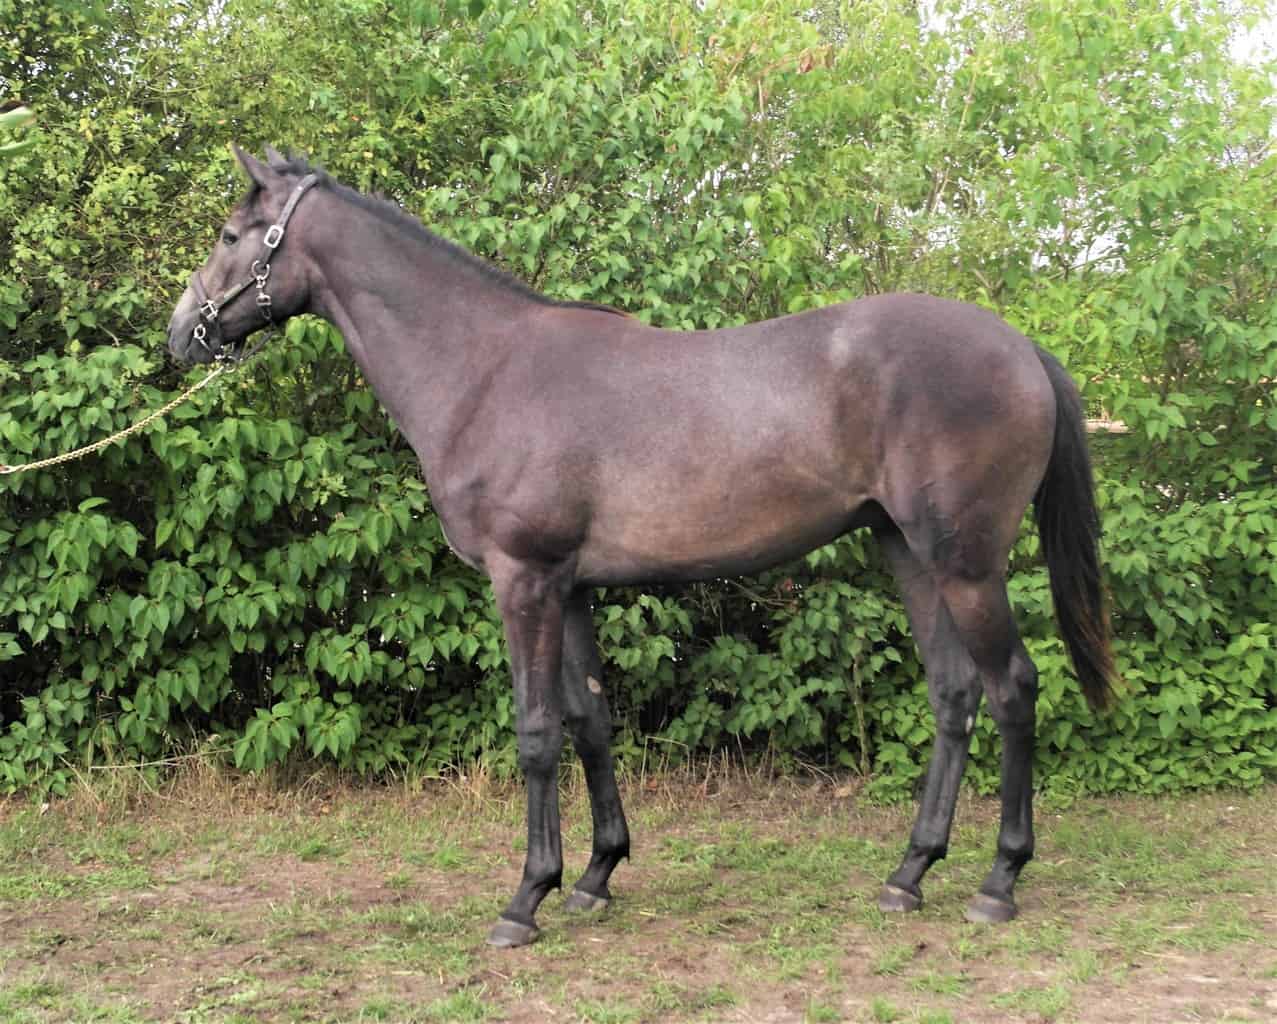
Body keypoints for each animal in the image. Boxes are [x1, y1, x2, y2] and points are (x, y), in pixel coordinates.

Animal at [164, 147, 1113, 944]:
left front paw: (525, 899)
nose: (180, 335)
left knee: (1011, 689)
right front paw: (593, 876)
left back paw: (998, 882)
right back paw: (909, 873)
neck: (483, 370)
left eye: (229, 236)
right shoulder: (572, 587)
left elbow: (536, 731)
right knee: (953, 696)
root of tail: (1019, 347)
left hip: (966, 565)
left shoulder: (524, 581)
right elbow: (590, 719)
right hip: (909, 553)